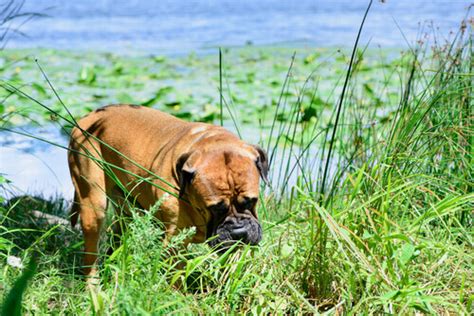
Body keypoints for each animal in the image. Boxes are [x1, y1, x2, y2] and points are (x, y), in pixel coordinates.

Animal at [67, 105, 268, 278]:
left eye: (251, 201)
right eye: (215, 208)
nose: (239, 232)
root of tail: (88, 117)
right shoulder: (173, 243)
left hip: (125, 210)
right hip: (93, 205)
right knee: (91, 254)